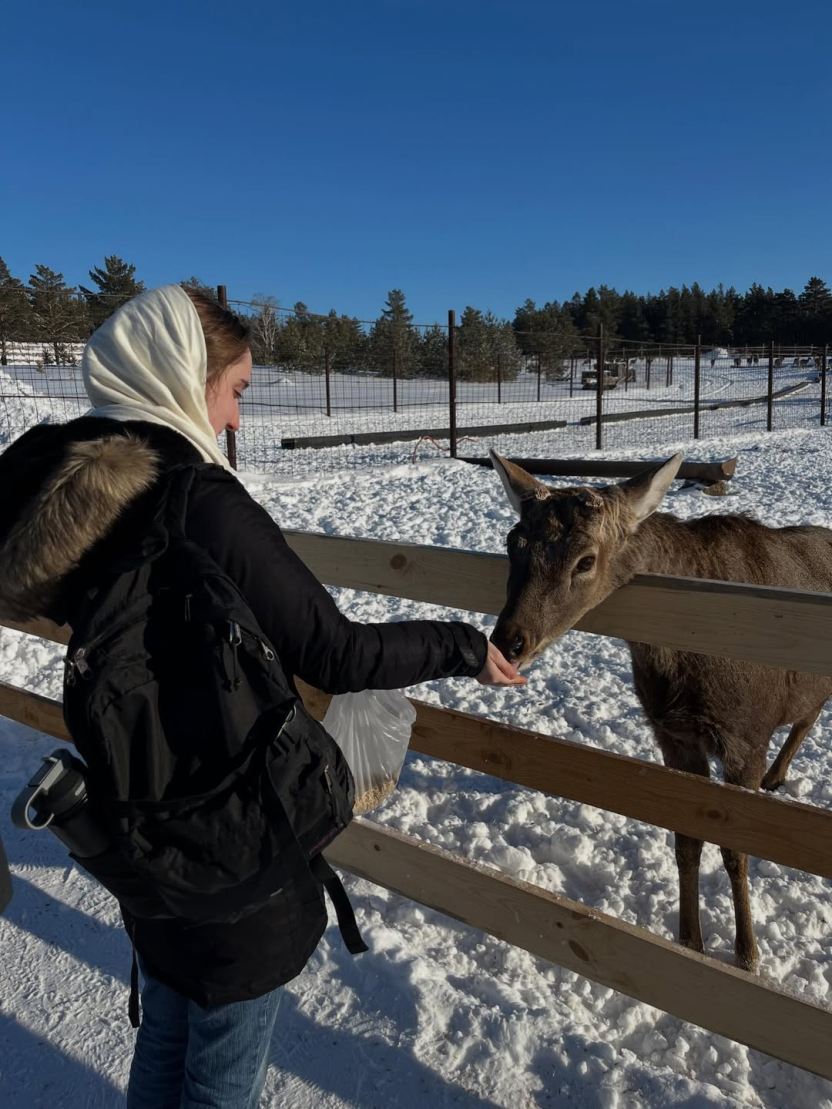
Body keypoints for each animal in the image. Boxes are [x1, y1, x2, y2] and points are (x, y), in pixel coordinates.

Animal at [488, 450, 832, 973]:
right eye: (513, 542)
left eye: (586, 560)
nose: (508, 641)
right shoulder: (673, 735)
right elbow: (686, 841)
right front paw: (690, 940)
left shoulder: (747, 735)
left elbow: (736, 851)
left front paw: (747, 955)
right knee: (809, 712)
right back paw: (778, 776)